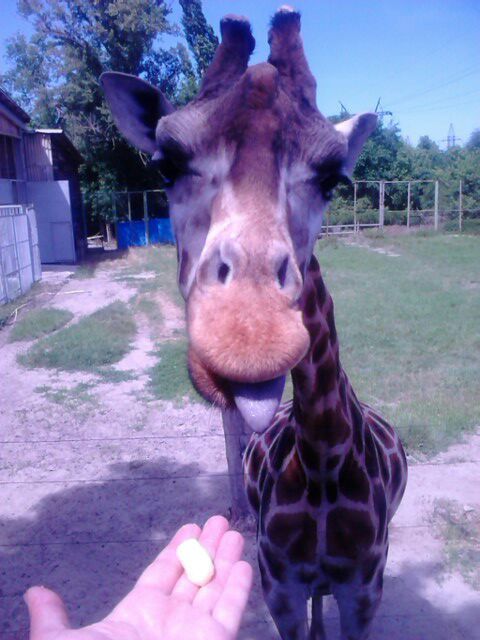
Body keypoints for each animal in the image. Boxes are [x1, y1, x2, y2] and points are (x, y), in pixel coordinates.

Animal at [103, 6, 406, 640]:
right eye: (166, 164)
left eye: (332, 178)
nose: (249, 339)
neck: (322, 460)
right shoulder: (280, 587)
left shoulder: (364, 589)